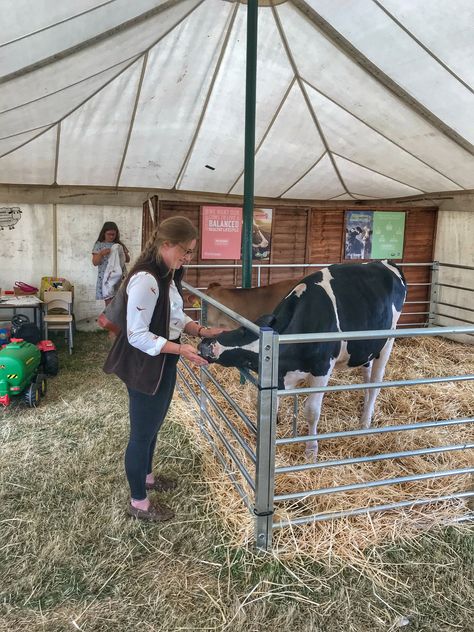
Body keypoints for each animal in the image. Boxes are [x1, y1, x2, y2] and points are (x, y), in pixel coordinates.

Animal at [200, 260, 408, 456]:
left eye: (248, 360)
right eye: (243, 328)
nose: (206, 345)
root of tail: (384, 262)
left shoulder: (322, 369)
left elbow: (311, 411)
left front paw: (311, 450)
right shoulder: (282, 375)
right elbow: (273, 407)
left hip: (388, 340)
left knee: (376, 383)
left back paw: (365, 422)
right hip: (365, 347)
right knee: (367, 378)